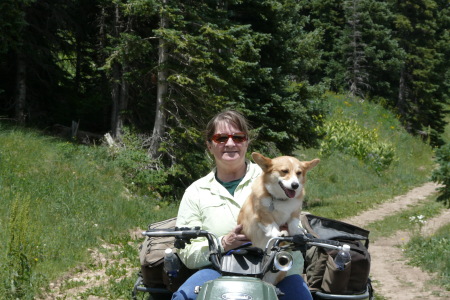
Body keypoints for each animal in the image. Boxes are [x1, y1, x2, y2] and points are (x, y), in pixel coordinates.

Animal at [236, 154, 320, 284]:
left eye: (299, 173)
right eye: (284, 171)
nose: (295, 185)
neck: (282, 199)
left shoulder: (295, 212)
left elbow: (293, 223)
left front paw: (297, 232)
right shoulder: (262, 214)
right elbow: (272, 225)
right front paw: (277, 233)